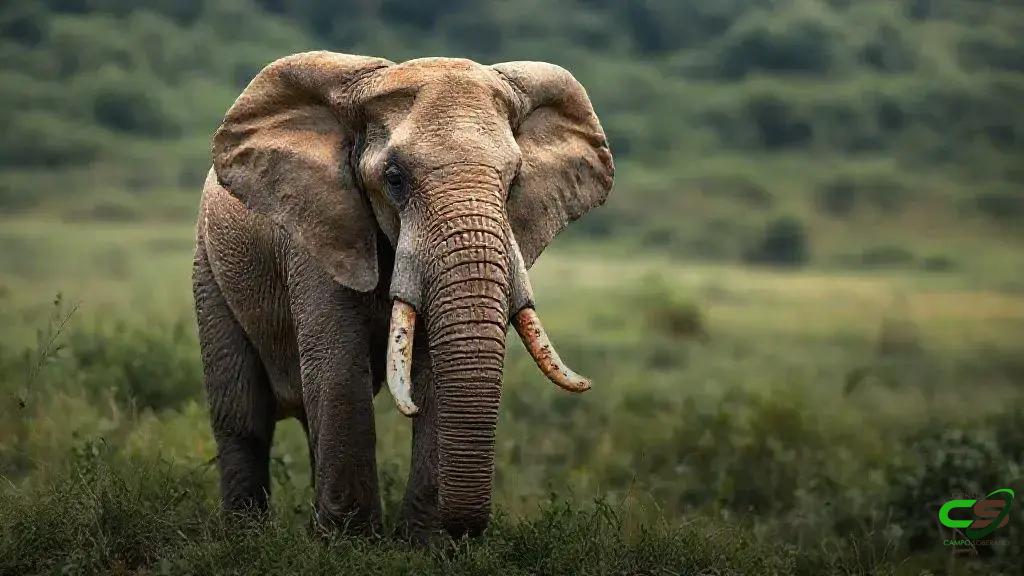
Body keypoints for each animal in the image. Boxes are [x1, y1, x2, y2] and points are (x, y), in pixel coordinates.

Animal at [192, 51, 614, 541]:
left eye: (513, 183)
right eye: (394, 179)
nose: (462, 533)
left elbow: (435, 375)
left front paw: (422, 545)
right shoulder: (318, 234)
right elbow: (338, 368)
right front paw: (351, 543)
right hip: (210, 268)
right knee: (243, 419)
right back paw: (247, 536)